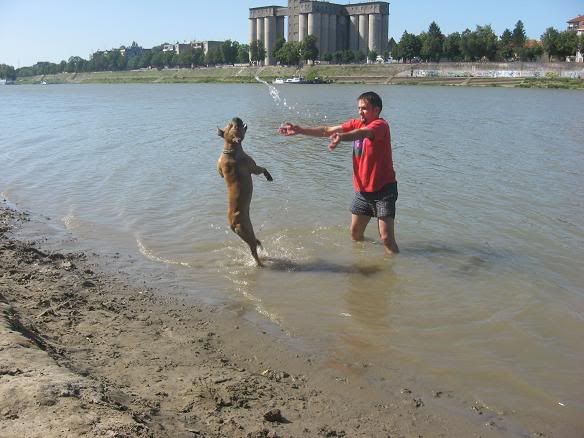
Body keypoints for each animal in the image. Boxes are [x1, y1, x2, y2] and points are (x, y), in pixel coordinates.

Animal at [217, 117, 274, 266]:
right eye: (234, 126)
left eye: (230, 124)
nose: (236, 117)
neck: (230, 148)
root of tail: (232, 224)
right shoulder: (254, 168)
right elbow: (263, 168)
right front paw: (268, 176)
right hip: (247, 230)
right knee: (253, 250)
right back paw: (261, 263)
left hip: (245, 234)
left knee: (254, 243)